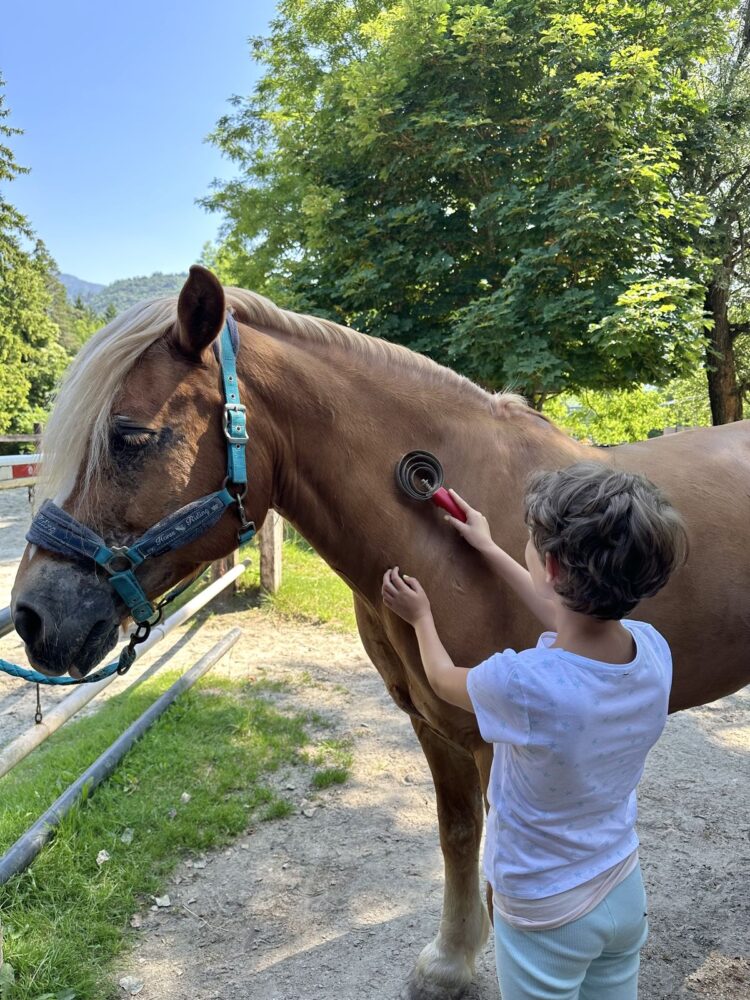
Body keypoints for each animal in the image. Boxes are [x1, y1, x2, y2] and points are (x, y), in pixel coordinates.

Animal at [11, 265, 750, 999]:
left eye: (131, 436)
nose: (30, 615)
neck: (437, 537)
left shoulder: (497, 740)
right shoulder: (435, 723)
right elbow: (459, 834)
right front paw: (449, 963)